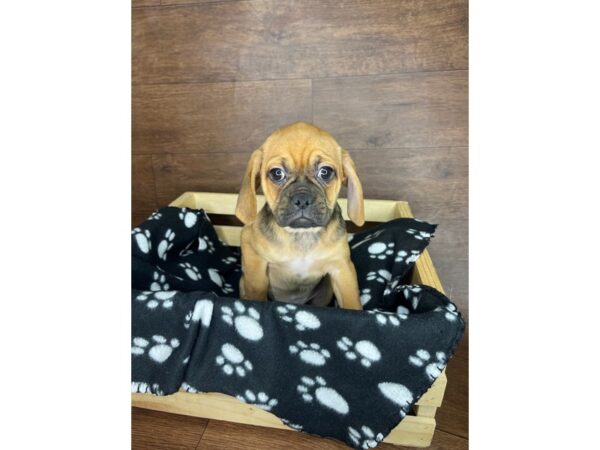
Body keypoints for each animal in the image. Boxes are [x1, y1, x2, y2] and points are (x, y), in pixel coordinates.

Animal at [234, 121, 366, 312]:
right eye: (277, 173)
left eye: (325, 172)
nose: (302, 199)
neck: (302, 234)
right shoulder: (252, 252)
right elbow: (256, 286)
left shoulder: (341, 267)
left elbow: (351, 301)